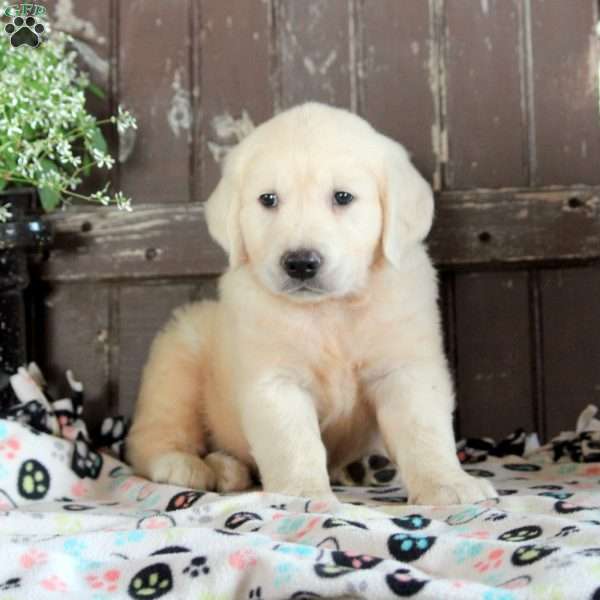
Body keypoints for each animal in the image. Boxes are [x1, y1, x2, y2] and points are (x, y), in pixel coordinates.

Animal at [126, 103, 496, 506]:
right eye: (268, 199)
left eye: (343, 197)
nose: (301, 263)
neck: (332, 309)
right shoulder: (276, 380)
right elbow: (293, 442)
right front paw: (302, 493)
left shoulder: (405, 366)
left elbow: (424, 430)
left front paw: (448, 484)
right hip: (178, 358)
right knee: (154, 433)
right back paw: (191, 465)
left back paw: (362, 466)